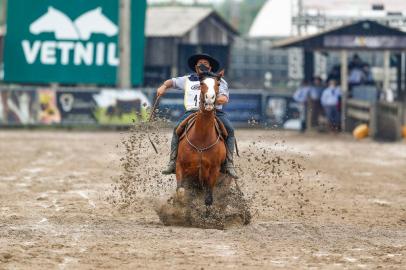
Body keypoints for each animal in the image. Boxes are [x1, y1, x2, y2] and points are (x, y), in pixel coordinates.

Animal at [175, 70, 228, 206]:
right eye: (201, 83)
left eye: (218, 84)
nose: (209, 98)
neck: (201, 140)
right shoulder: (180, 165)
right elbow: (180, 192)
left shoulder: (214, 170)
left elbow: (208, 199)